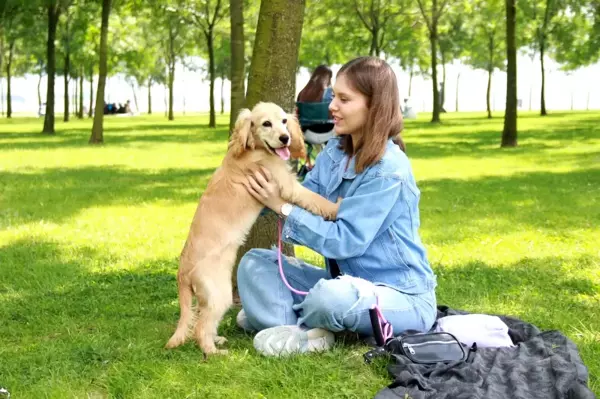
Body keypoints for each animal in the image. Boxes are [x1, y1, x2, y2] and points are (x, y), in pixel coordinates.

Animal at [166, 101, 340, 354]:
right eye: (266, 124)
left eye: (284, 121)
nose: (285, 138)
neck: (254, 149)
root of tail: (182, 272)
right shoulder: (288, 185)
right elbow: (317, 199)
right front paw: (340, 206)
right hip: (220, 293)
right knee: (200, 327)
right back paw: (214, 352)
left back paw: (217, 340)